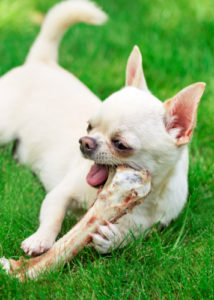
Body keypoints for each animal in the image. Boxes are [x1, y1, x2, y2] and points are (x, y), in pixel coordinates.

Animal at [0, 0, 206, 255]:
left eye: (120, 144)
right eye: (89, 126)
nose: (84, 142)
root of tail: (41, 61)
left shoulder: (147, 229)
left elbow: (129, 236)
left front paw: (111, 239)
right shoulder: (61, 193)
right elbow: (53, 215)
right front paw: (40, 239)